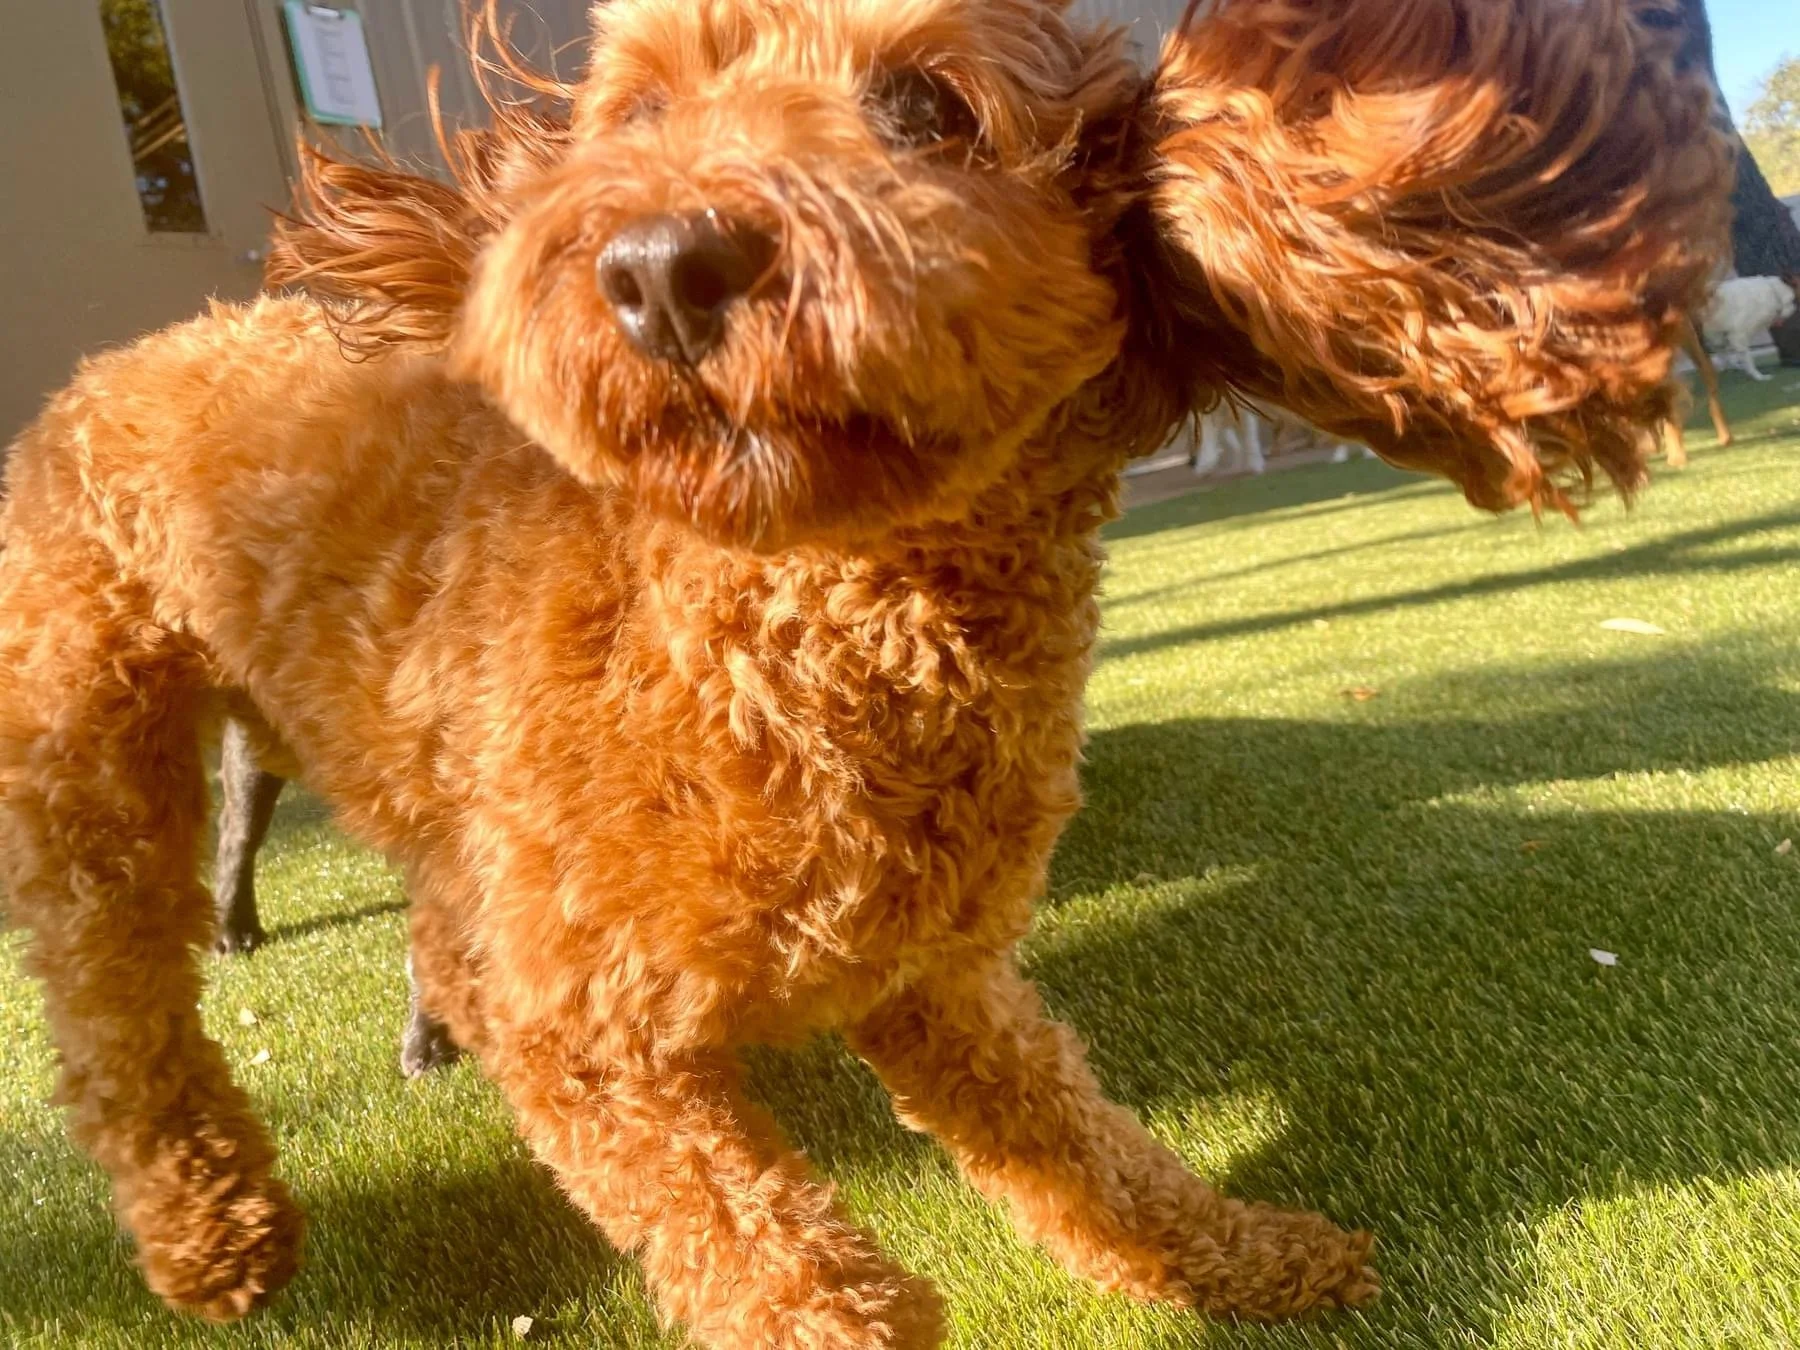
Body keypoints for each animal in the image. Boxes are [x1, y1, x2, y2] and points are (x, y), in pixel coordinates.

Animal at [0, 0, 1730, 1343]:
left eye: (927, 107)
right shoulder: (585, 1033)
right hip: (91, 765)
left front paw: (1245, 1253)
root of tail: (120, 357)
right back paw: (212, 1231)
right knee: (120, 1016)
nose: (659, 265)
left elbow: (1076, 1139)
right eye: (639, 110)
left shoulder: (930, 976)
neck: (774, 619)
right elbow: (796, 1273)